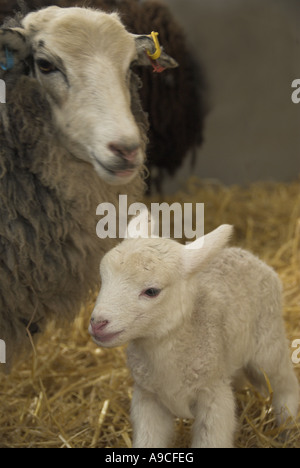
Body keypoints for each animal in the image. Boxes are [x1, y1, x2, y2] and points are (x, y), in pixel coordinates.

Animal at [89, 223, 300, 450]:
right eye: (103, 279)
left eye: (152, 291)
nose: (98, 323)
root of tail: (245, 253)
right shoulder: (148, 398)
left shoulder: (213, 396)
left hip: (268, 341)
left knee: (285, 382)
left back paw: (287, 429)